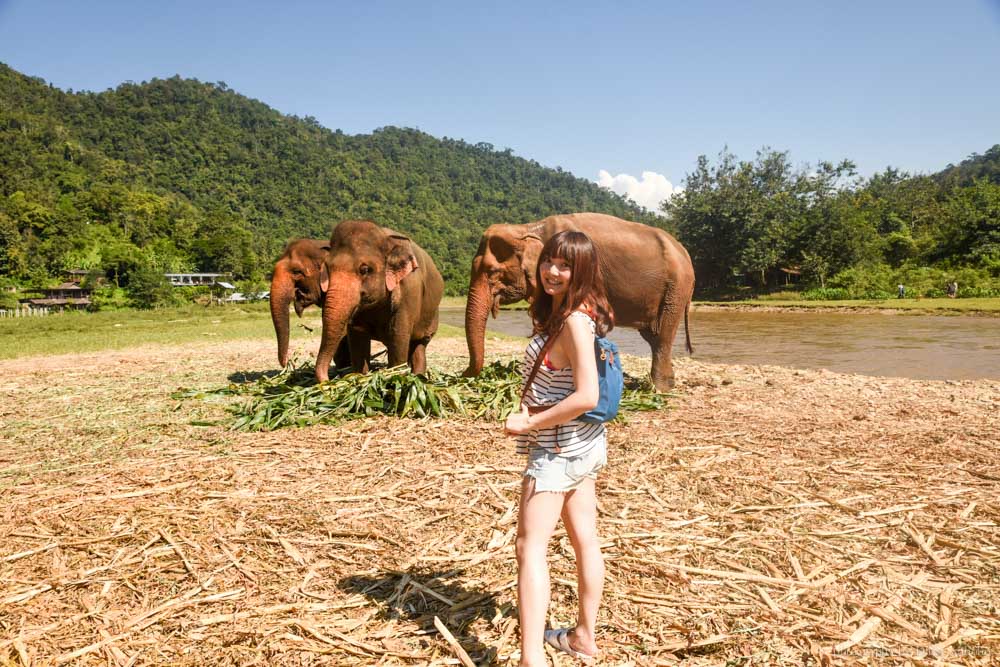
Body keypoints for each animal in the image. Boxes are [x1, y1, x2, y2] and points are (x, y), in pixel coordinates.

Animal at [314, 222, 444, 384]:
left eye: (364, 269)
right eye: (327, 269)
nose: (329, 379)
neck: (384, 236)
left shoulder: (408, 294)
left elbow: (398, 337)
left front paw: (395, 377)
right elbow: (357, 338)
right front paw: (360, 378)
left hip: (431, 316)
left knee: (419, 345)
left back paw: (418, 377)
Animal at [462, 213, 692, 392]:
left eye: (492, 272)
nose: (463, 373)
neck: (528, 228)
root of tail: (685, 252)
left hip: (676, 288)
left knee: (663, 336)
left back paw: (659, 389)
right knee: (653, 336)